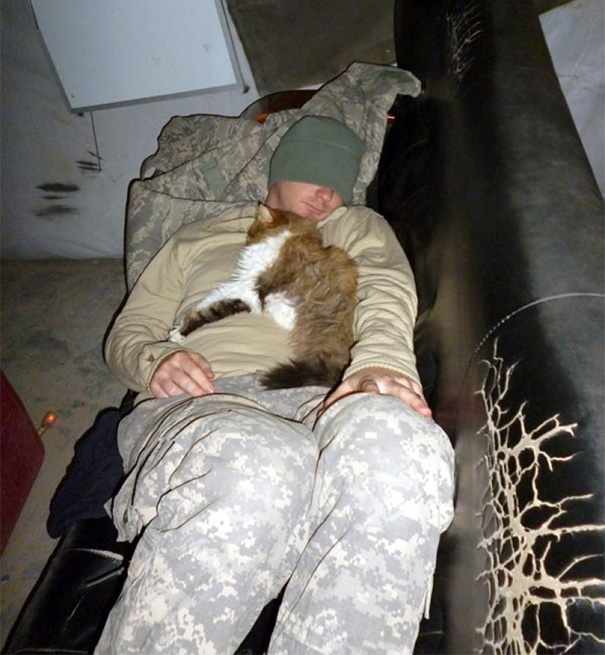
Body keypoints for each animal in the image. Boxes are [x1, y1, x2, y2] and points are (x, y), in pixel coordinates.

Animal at [169, 202, 358, 390]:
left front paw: (179, 333)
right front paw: (178, 327)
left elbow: (208, 309)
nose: (246, 242)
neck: (287, 238)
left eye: (250, 233)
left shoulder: (249, 291)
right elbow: (210, 300)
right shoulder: (245, 290)